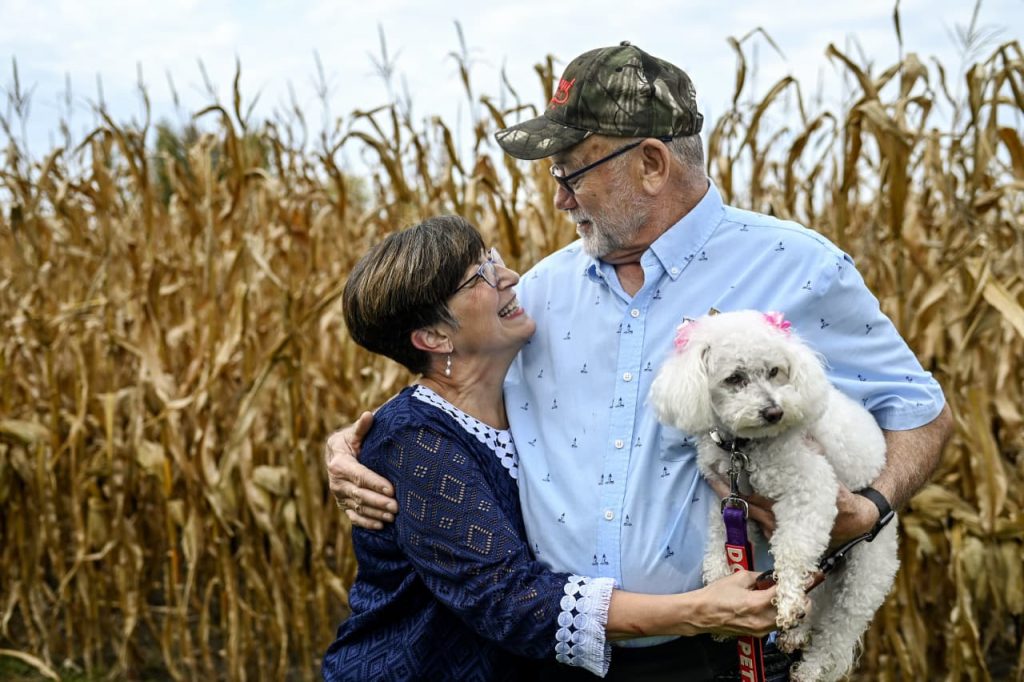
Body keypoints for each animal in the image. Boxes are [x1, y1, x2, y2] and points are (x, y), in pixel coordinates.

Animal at [651, 309, 901, 679]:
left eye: (774, 371)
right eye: (734, 378)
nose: (774, 412)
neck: (743, 449)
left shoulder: (810, 490)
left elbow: (793, 550)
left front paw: (787, 601)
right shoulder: (729, 501)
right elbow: (717, 548)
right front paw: (721, 597)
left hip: (863, 581)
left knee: (835, 636)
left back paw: (809, 668)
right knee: (816, 592)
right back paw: (796, 634)